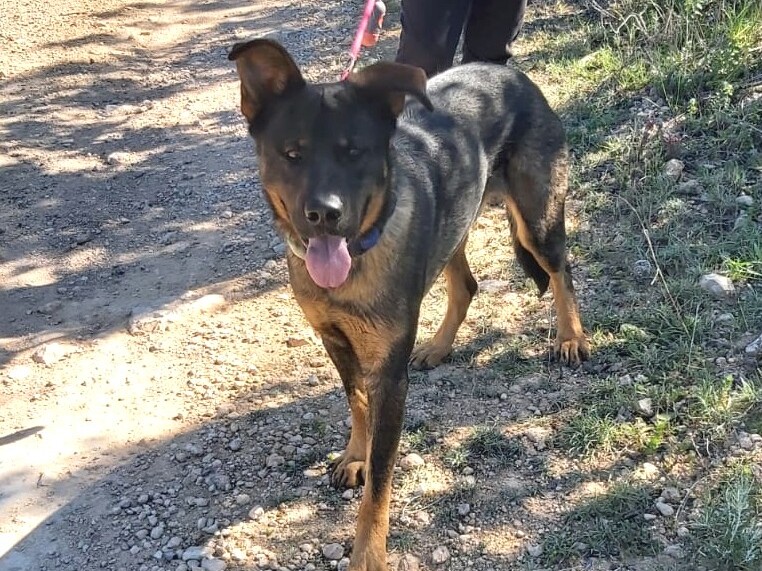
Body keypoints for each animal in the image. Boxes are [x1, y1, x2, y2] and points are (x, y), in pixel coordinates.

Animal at [228, 39, 589, 571]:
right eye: (292, 154)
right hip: (455, 224)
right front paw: (355, 455)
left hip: (536, 219)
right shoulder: (336, 342)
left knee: (562, 269)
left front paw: (368, 553)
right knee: (466, 285)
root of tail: (513, 75)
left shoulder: (389, 376)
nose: (324, 214)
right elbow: (357, 403)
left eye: (354, 152)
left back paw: (570, 337)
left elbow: (379, 484)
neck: (357, 260)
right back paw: (438, 347)